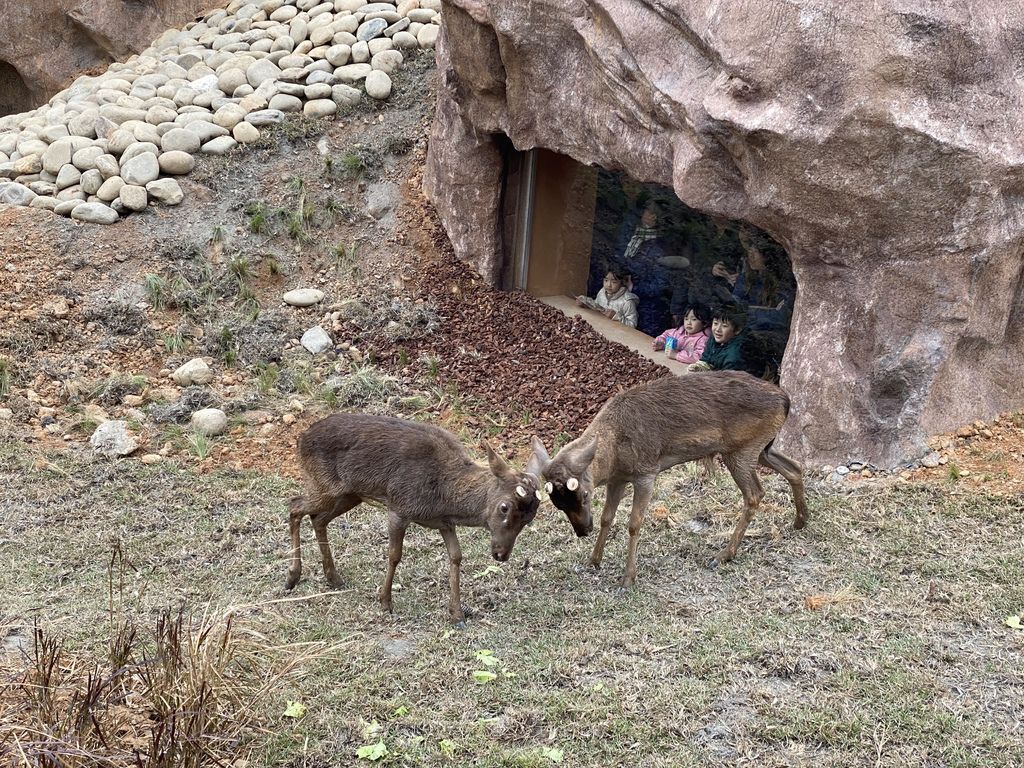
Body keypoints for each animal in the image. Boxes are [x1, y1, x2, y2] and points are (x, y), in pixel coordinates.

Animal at [288, 415, 544, 626]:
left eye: (529, 519)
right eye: (504, 507)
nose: (501, 554)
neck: (444, 497)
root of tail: (301, 439)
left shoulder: (445, 523)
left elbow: (456, 557)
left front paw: (457, 614)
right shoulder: (399, 507)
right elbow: (394, 555)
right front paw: (385, 601)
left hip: (349, 495)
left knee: (318, 519)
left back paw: (333, 578)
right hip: (324, 485)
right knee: (295, 506)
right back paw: (292, 577)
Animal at [528, 372, 806, 589]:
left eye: (585, 494)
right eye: (557, 503)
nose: (583, 530)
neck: (614, 454)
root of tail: (786, 401)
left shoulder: (646, 472)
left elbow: (634, 524)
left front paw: (627, 579)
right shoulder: (618, 478)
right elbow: (608, 518)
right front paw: (592, 561)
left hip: (743, 449)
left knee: (755, 494)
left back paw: (722, 555)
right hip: (762, 448)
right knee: (795, 467)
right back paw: (801, 521)